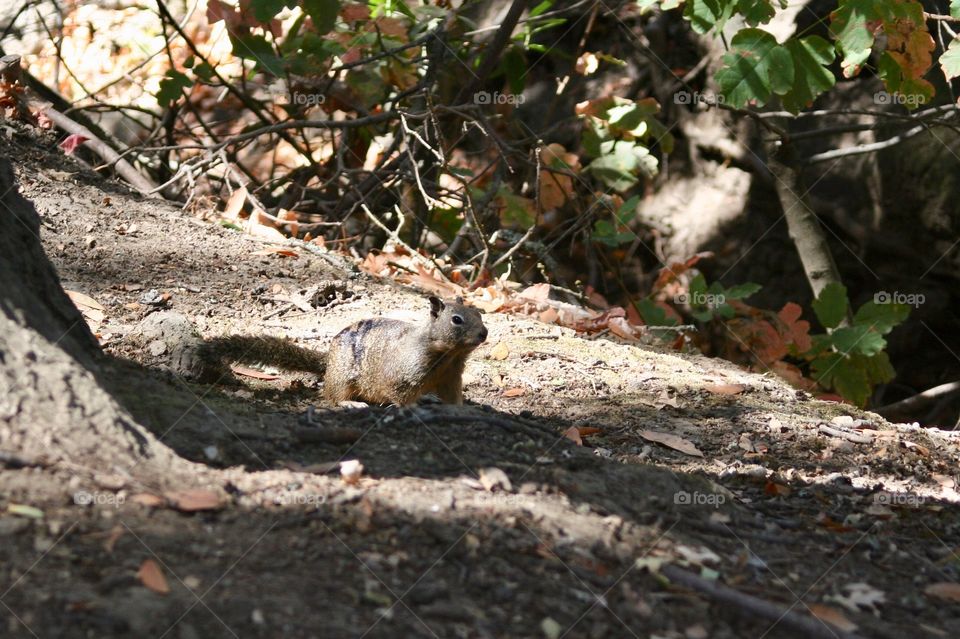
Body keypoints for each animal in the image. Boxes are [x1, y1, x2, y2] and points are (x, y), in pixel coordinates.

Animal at [191, 296, 487, 406]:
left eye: (479, 313)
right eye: (456, 320)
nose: (484, 333)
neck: (449, 355)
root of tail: (329, 360)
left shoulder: (451, 378)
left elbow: (452, 398)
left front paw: (460, 409)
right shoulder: (404, 375)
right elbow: (399, 394)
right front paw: (412, 407)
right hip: (344, 378)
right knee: (333, 397)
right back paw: (352, 403)